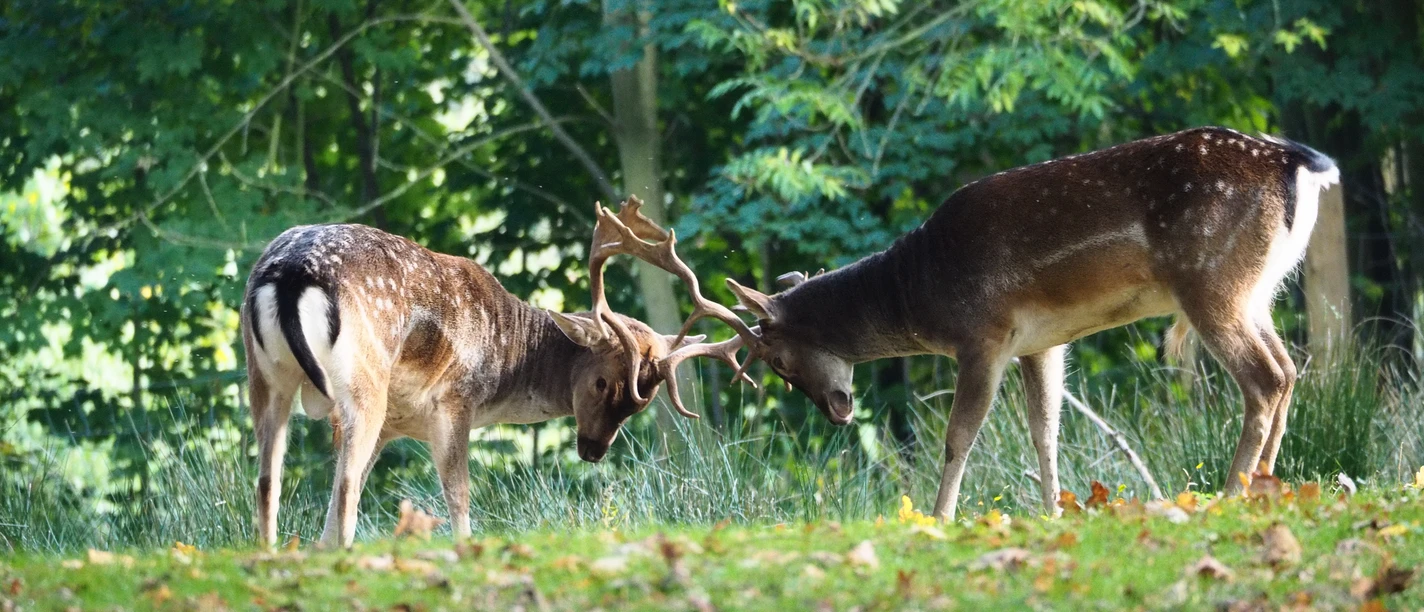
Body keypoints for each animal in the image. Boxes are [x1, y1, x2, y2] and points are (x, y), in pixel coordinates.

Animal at [239, 197, 752, 548]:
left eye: (637, 404)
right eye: (602, 381)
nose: (592, 450)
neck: (505, 355)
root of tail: (289, 273)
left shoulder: (394, 425)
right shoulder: (454, 399)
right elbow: (458, 491)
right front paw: (466, 547)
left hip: (264, 374)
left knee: (269, 479)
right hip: (363, 384)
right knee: (341, 487)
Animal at [700, 127, 1338, 520]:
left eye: (778, 360)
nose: (838, 411)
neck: (920, 290)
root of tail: (1306, 166)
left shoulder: (984, 334)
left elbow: (959, 436)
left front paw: (938, 517)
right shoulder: (1043, 342)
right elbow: (1045, 430)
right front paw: (1054, 510)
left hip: (1211, 280)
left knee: (1264, 379)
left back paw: (1230, 494)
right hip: (1258, 290)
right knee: (1287, 370)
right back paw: (1267, 486)